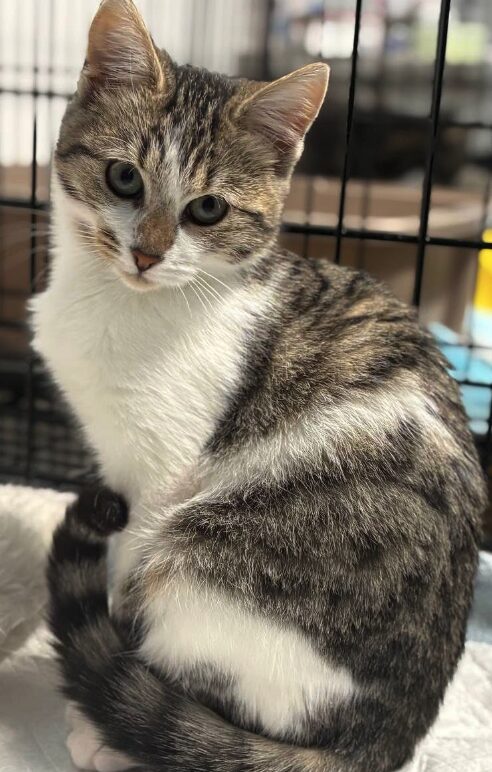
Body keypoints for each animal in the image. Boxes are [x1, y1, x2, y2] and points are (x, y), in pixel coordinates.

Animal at [31, 1, 488, 772]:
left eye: (207, 210)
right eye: (124, 178)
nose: (147, 253)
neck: (121, 302)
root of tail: (384, 742)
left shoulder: (162, 477)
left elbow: (125, 568)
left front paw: (110, 678)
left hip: (203, 569)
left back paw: (129, 734)